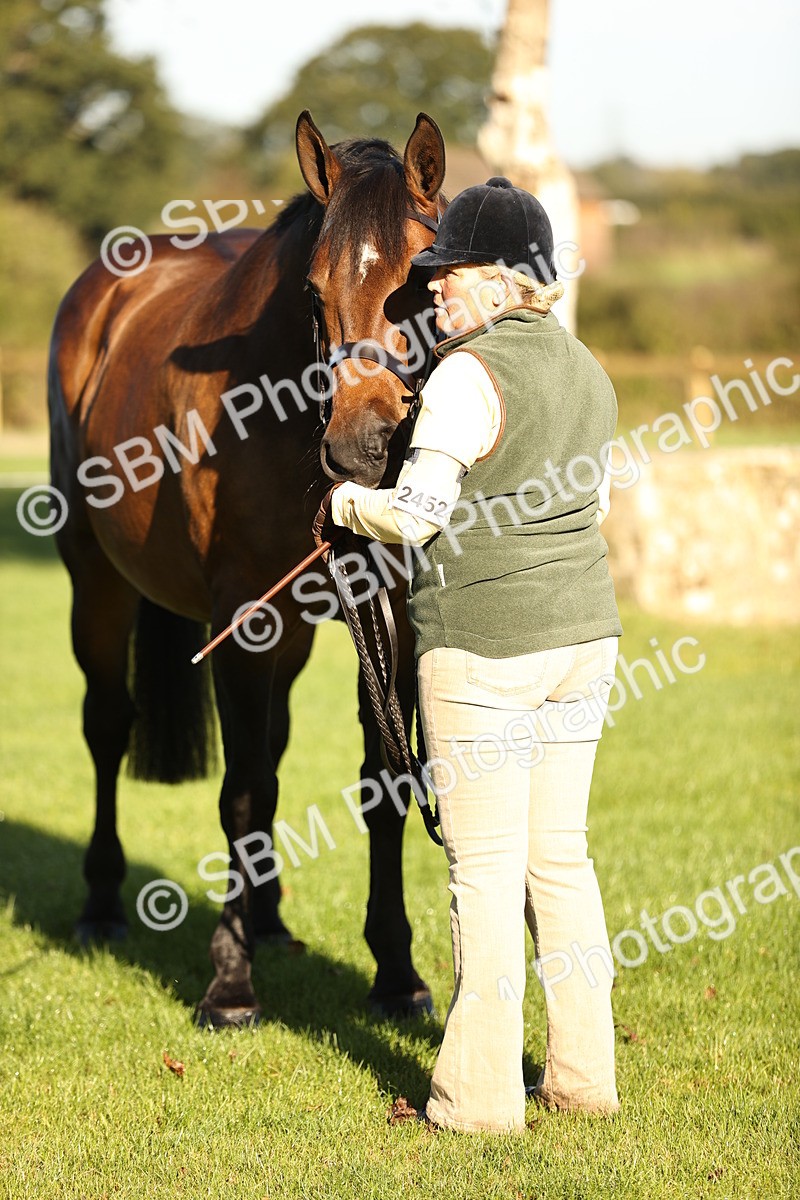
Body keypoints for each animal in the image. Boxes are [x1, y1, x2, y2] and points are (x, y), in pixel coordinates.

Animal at [48, 110, 446, 1026]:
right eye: (311, 295)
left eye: (419, 285)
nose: (362, 449)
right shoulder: (241, 620)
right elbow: (238, 791)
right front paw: (229, 984)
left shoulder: (390, 617)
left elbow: (382, 779)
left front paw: (396, 972)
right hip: (97, 585)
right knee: (108, 727)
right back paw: (100, 905)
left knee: (271, 747)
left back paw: (268, 919)